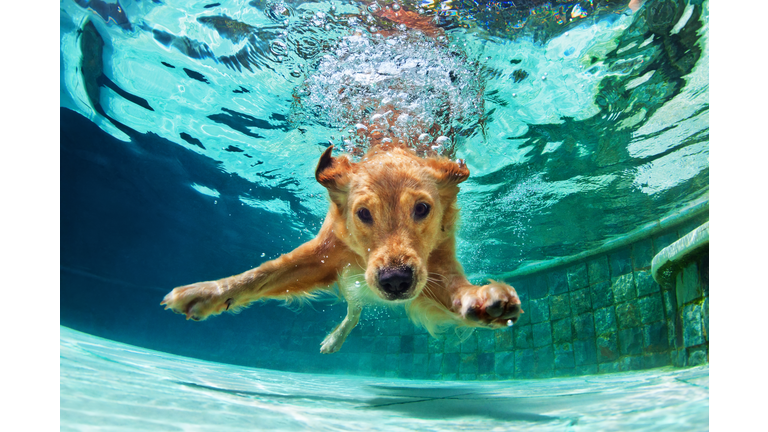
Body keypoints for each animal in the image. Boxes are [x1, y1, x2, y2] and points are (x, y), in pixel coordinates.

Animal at [160, 140, 520, 352]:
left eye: (422, 208)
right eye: (363, 213)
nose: (395, 281)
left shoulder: (436, 264)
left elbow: (457, 289)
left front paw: (482, 299)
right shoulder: (323, 255)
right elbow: (261, 274)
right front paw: (207, 292)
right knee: (354, 308)